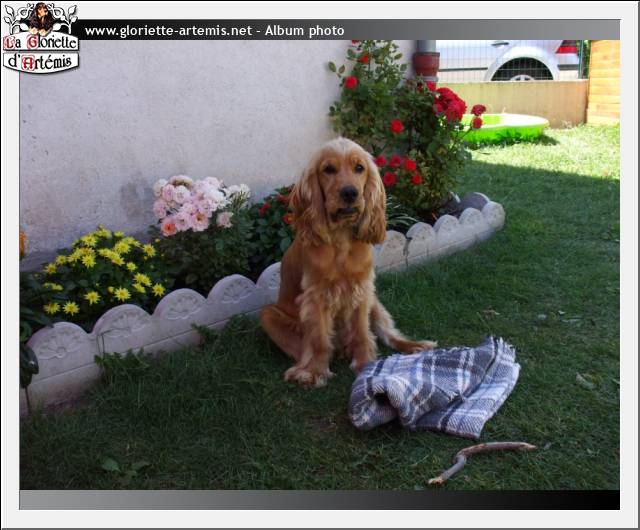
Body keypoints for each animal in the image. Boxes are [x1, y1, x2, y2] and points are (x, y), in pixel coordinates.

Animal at [260, 138, 436, 388]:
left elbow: (363, 333)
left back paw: (414, 346)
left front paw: (365, 364)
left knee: (388, 333)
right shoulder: (316, 296)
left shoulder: (362, 290)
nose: (350, 193)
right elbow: (319, 340)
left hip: (375, 301)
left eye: (359, 168)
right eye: (328, 169)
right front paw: (314, 372)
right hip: (268, 315)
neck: (341, 238)